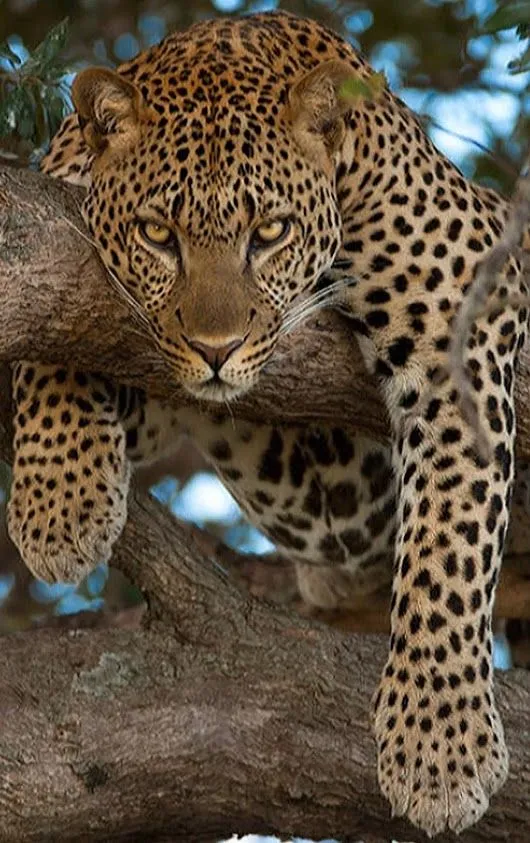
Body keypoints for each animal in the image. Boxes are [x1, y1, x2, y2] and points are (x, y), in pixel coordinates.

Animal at [6, 10, 530, 837]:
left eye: (272, 231)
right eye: (159, 234)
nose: (216, 349)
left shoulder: (464, 307)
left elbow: (450, 534)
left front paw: (439, 743)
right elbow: (59, 332)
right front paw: (61, 503)